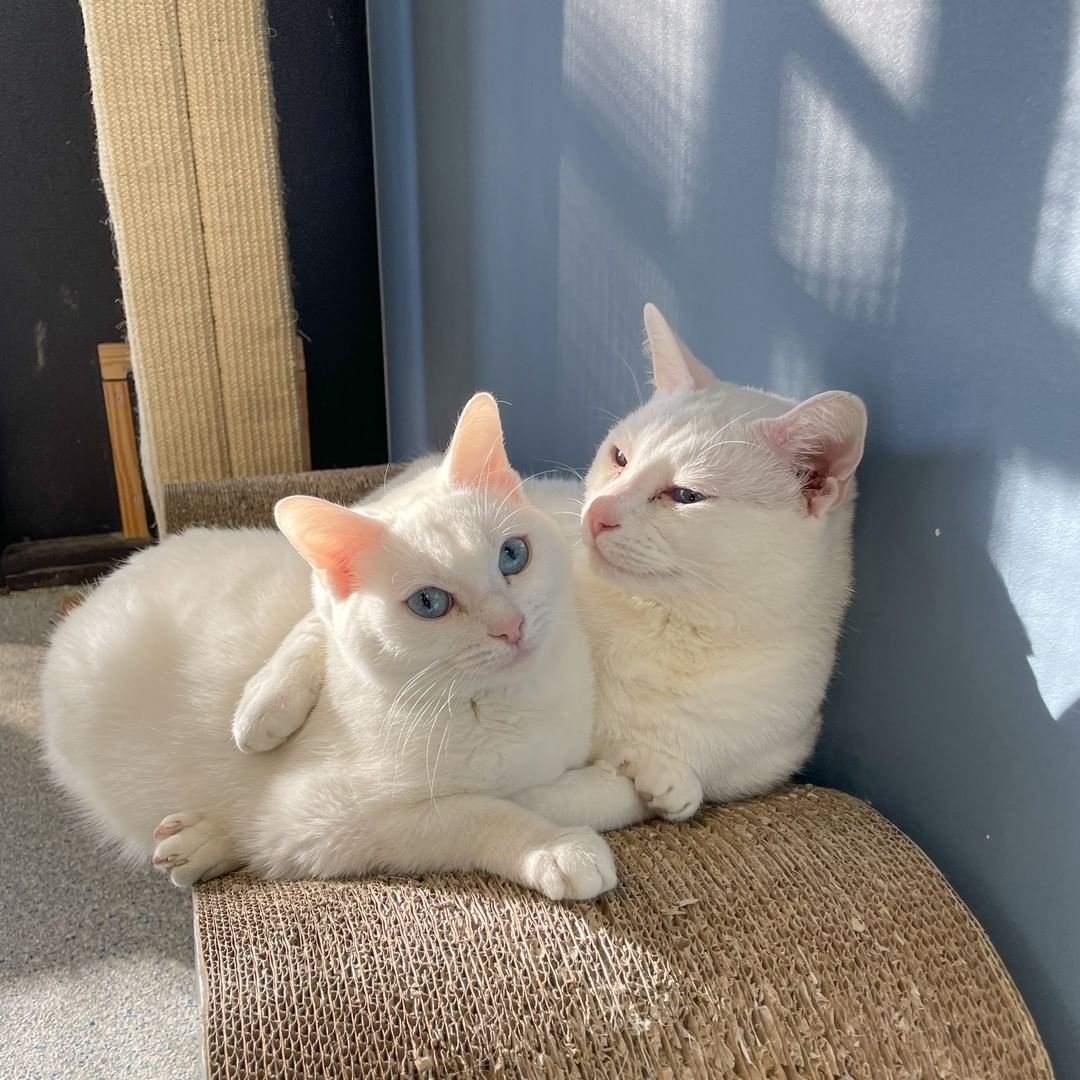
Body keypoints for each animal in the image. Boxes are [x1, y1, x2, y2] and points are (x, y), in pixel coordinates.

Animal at [39, 393, 630, 898]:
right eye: (430, 603)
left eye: (513, 555)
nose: (510, 625)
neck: (510, 704)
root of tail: (95, 591)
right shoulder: (327, 820)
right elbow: (477, 810)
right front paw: (554, 847)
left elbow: (590, 793)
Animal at [236, 304, 868, 825]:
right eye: (620, 457)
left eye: (686, 496)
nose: (599, 513)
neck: (666, 629)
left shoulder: (762, 760)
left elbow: (641, 788)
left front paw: (666, 782)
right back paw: (263, 708)